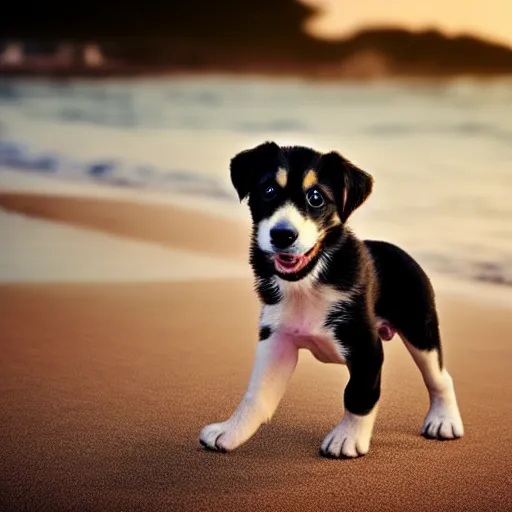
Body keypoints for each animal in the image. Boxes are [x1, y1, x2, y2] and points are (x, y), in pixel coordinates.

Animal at [199, 142, 464, 458]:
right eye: (268, 191)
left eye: (316, 198)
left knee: (439, 377)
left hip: (420, 328)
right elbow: (256, 395)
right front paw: (231, 431)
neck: (308, 282)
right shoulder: (276, 339)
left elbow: (358, 394)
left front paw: (347, 438)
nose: (282, 235)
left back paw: (443, 420)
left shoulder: (365, 346)